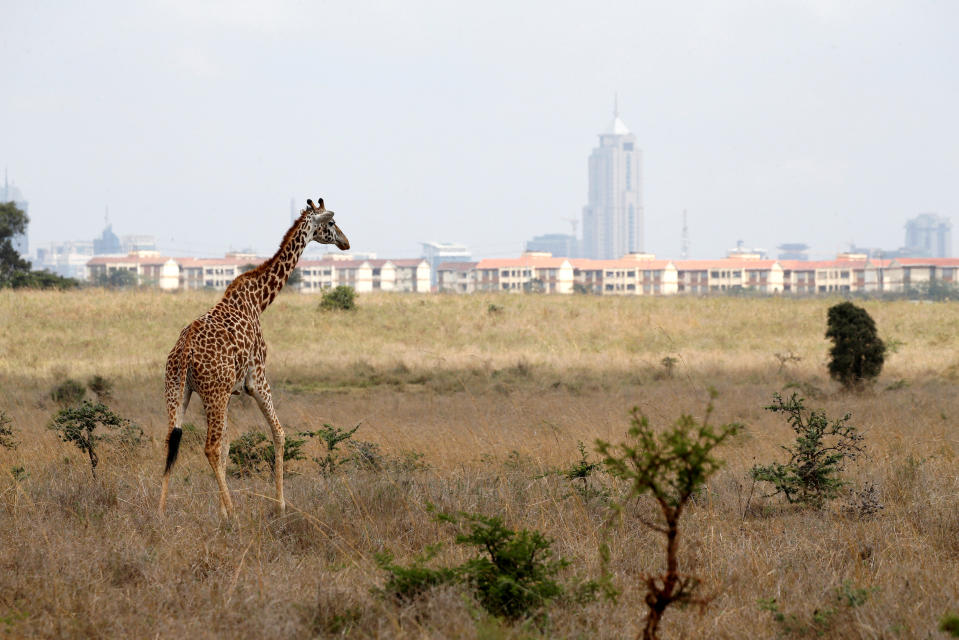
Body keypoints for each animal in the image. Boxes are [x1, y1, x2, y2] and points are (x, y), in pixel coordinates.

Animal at [159, 198, 350, 516]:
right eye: (332, 223)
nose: (346, 242)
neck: (259, 301)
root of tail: (184, 352)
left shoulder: (232, 391)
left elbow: (228, 446)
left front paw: (221, 512)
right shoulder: (256, 378)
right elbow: (279, 433)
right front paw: (280, 506)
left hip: (178, 390)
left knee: (171, 440)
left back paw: (161, 512)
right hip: (212, 392)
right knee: (209, 446)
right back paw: (235, 514)